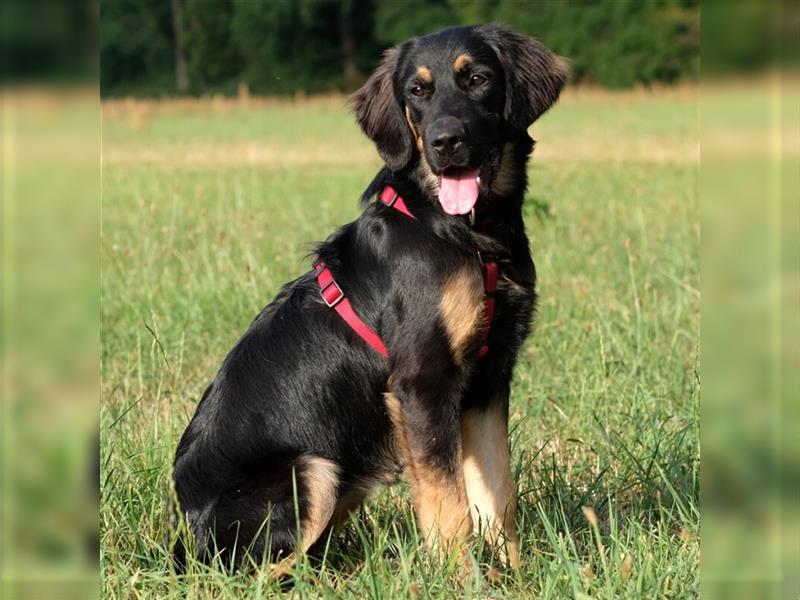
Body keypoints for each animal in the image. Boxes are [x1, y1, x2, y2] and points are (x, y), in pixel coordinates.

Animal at [172, 23, 564, 576]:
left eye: (478, 79)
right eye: (417, 91)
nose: (445, 143)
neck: (466, 235)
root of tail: (184, 537)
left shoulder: (489, 381)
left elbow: (497, 496)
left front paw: (517, 577)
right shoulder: (423, 383)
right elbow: (450, 508)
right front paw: (463, 580)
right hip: (312, 470)